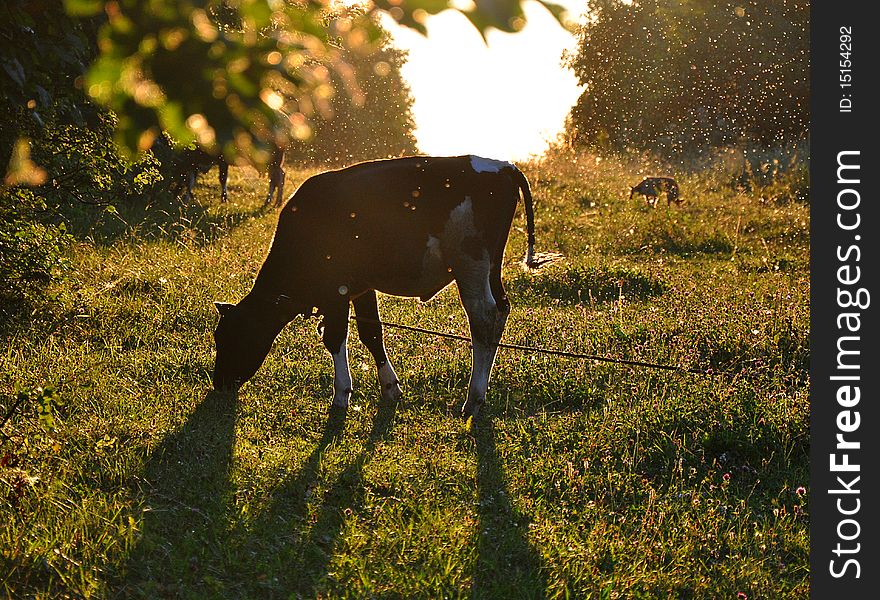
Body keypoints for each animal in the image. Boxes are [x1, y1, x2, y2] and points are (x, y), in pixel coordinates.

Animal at [215, 152, 536, 420]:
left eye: (230, 338)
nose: (219, 384)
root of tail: (503, 165)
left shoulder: (336, 292)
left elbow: (335, 337)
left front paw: (341, 394)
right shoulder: (361, 287)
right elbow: (372, 333)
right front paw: (390, 387)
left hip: (470, 264)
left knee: (484, 319)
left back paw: (473, 399)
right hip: (491, 267)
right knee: (501, 312)